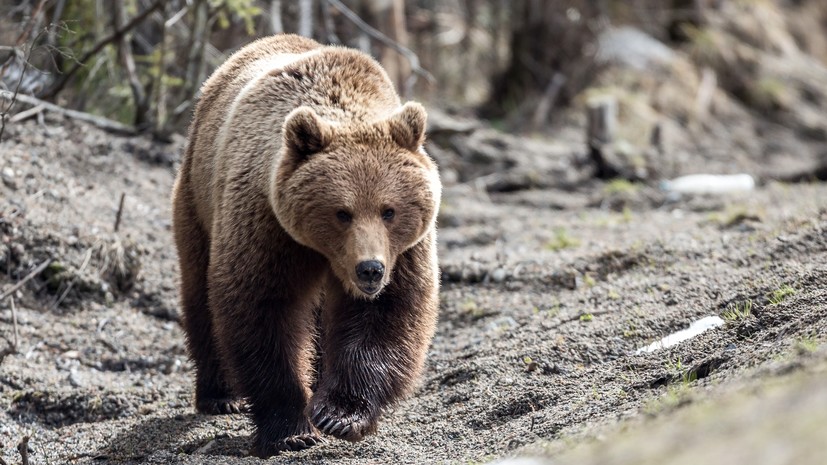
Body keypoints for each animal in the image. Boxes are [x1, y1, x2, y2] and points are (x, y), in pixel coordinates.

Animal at [171, 34, 441, 458]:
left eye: (389, 210)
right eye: (342, 212)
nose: (370, 269)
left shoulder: (405, 252)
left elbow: (387, 313)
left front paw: (338, 414)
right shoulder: (266, 224)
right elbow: (263, 309)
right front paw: (291, 429)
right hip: (198, 200)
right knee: (199, 292)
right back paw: (220, 395)